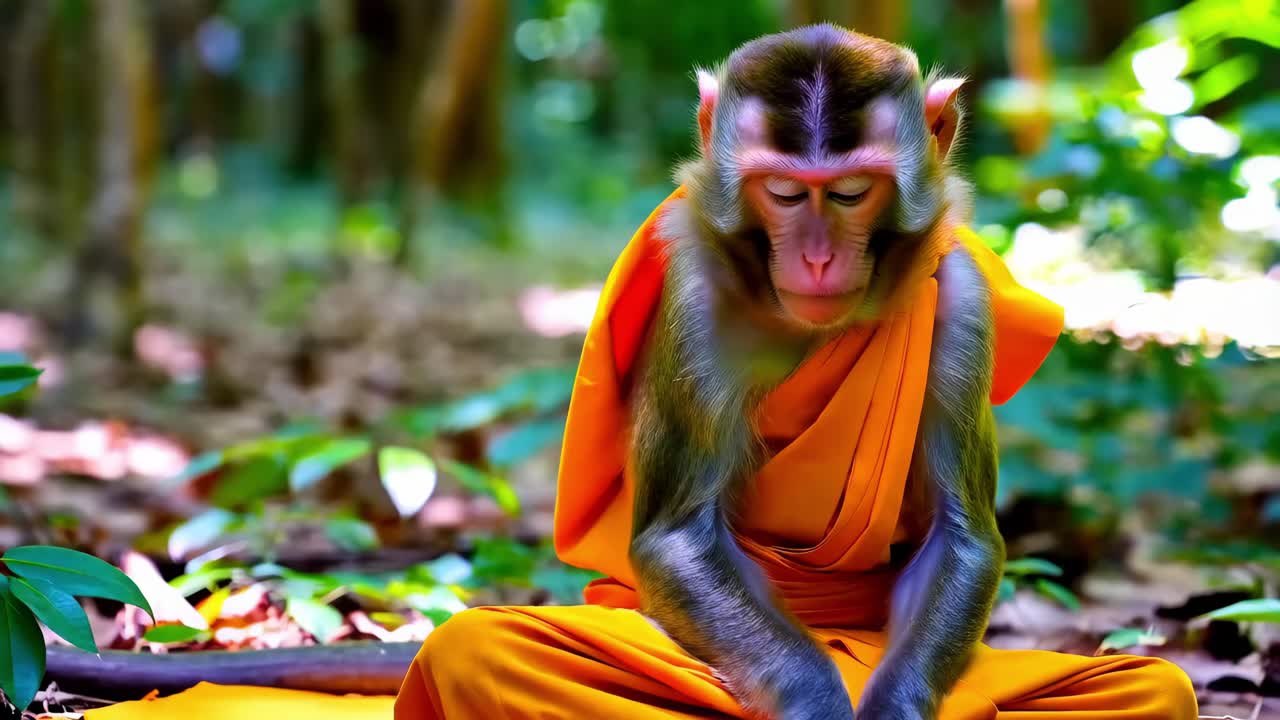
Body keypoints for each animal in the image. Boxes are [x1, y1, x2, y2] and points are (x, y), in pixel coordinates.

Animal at [626, 25, 1000, 720]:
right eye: (784, 193)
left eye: (852, 191)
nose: (818, 258)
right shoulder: (693, 304)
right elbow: (679, 536)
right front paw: (816, 700)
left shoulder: (965, 300)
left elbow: (959, 535)